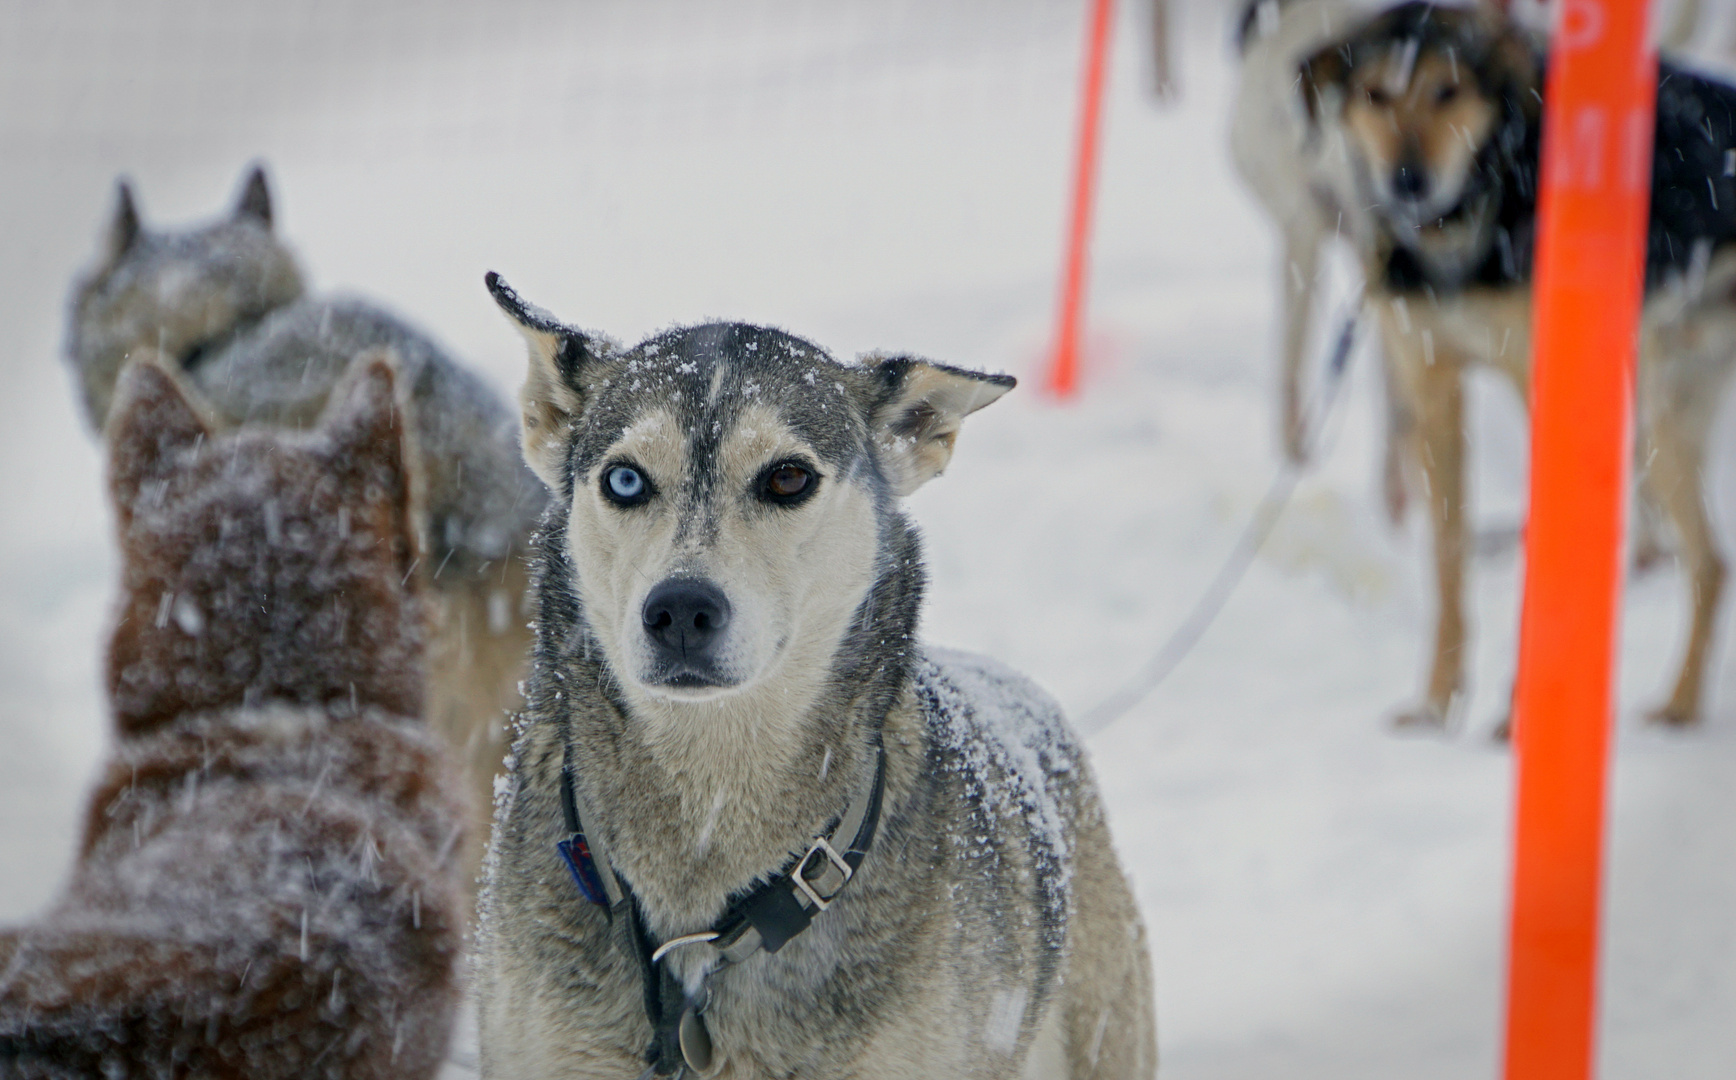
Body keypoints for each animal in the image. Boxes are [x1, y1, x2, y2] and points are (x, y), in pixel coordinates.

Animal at [1305, 2, 1736, 729]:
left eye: (1448, 91)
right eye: (1375, 94)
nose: (1408, 182)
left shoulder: (1546, 396)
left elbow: (1547, 566)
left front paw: (1513, 720)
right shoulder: (1432, 386)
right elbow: (1448, 555)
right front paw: (1435, 705)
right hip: (1663, 416)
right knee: (1710, 563)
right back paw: (1678, 707)